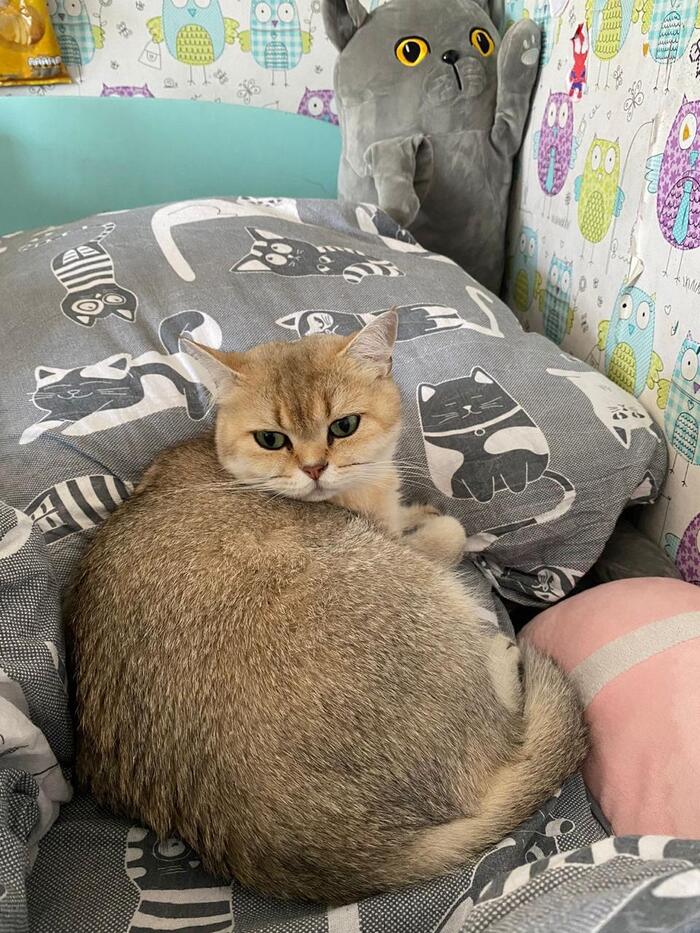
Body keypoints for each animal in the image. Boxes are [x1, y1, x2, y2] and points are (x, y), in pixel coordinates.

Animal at [20, 310, 220, 445]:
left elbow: (91, 419)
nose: (73, 391)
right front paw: (29, 434)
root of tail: (177, 353)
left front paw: (73, 429)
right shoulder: (58, 414)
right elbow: (44, 422)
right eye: (59, 387)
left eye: (92, 382)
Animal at [418, 369, 575, 549]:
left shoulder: (516, 442)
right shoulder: (467, 473)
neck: (475, 430)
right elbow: (478, 482)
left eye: (477, 396)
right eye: (449, 405)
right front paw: (485, 496)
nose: (467, 407)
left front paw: (516, 487)